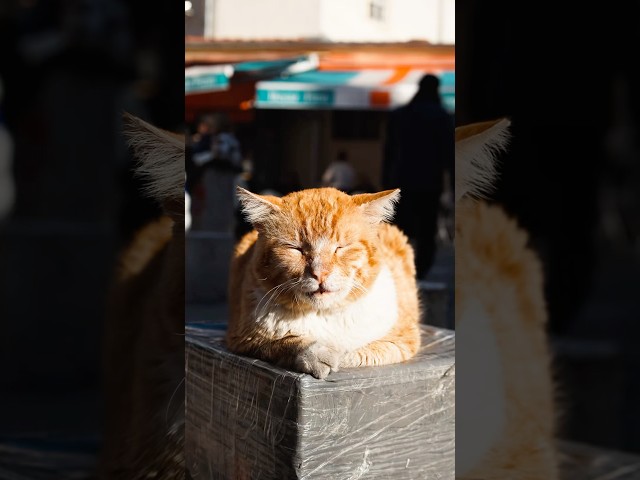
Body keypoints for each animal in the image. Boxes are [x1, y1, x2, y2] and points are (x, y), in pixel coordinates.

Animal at [228, 188, 422, 378]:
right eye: (296, 249)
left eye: (340, 247)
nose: (320, 274)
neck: (324, 313)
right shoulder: (244, 338)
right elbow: (285, 342)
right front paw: (315, 353)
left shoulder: (401, 339)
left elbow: (356, 354)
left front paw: (340, 354)